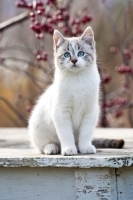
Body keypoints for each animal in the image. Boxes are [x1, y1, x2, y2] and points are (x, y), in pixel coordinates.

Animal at [28, 25, 124, 155]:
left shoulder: (90, 112)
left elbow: (85, 134)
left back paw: (79, 147)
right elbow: (66, 135)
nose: (74, 60)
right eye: (67, 55)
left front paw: (85, 148)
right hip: (38, 127)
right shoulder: (61, 112)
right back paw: (52, 148)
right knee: (44, 145)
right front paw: (69, 149)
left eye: (81, 53)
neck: (77, 79)